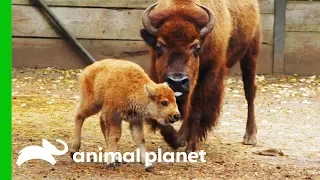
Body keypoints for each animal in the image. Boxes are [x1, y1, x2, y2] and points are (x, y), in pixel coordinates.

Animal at [141, 0, 262, 152]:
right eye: (158, 47)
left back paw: (250, 136)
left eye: (196, 48)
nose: (177, 82)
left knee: (249, 91)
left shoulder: (207, 77)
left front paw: (193, 148)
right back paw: (182, 137)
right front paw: (176, 140)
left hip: (251, 53)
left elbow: (197, 111)